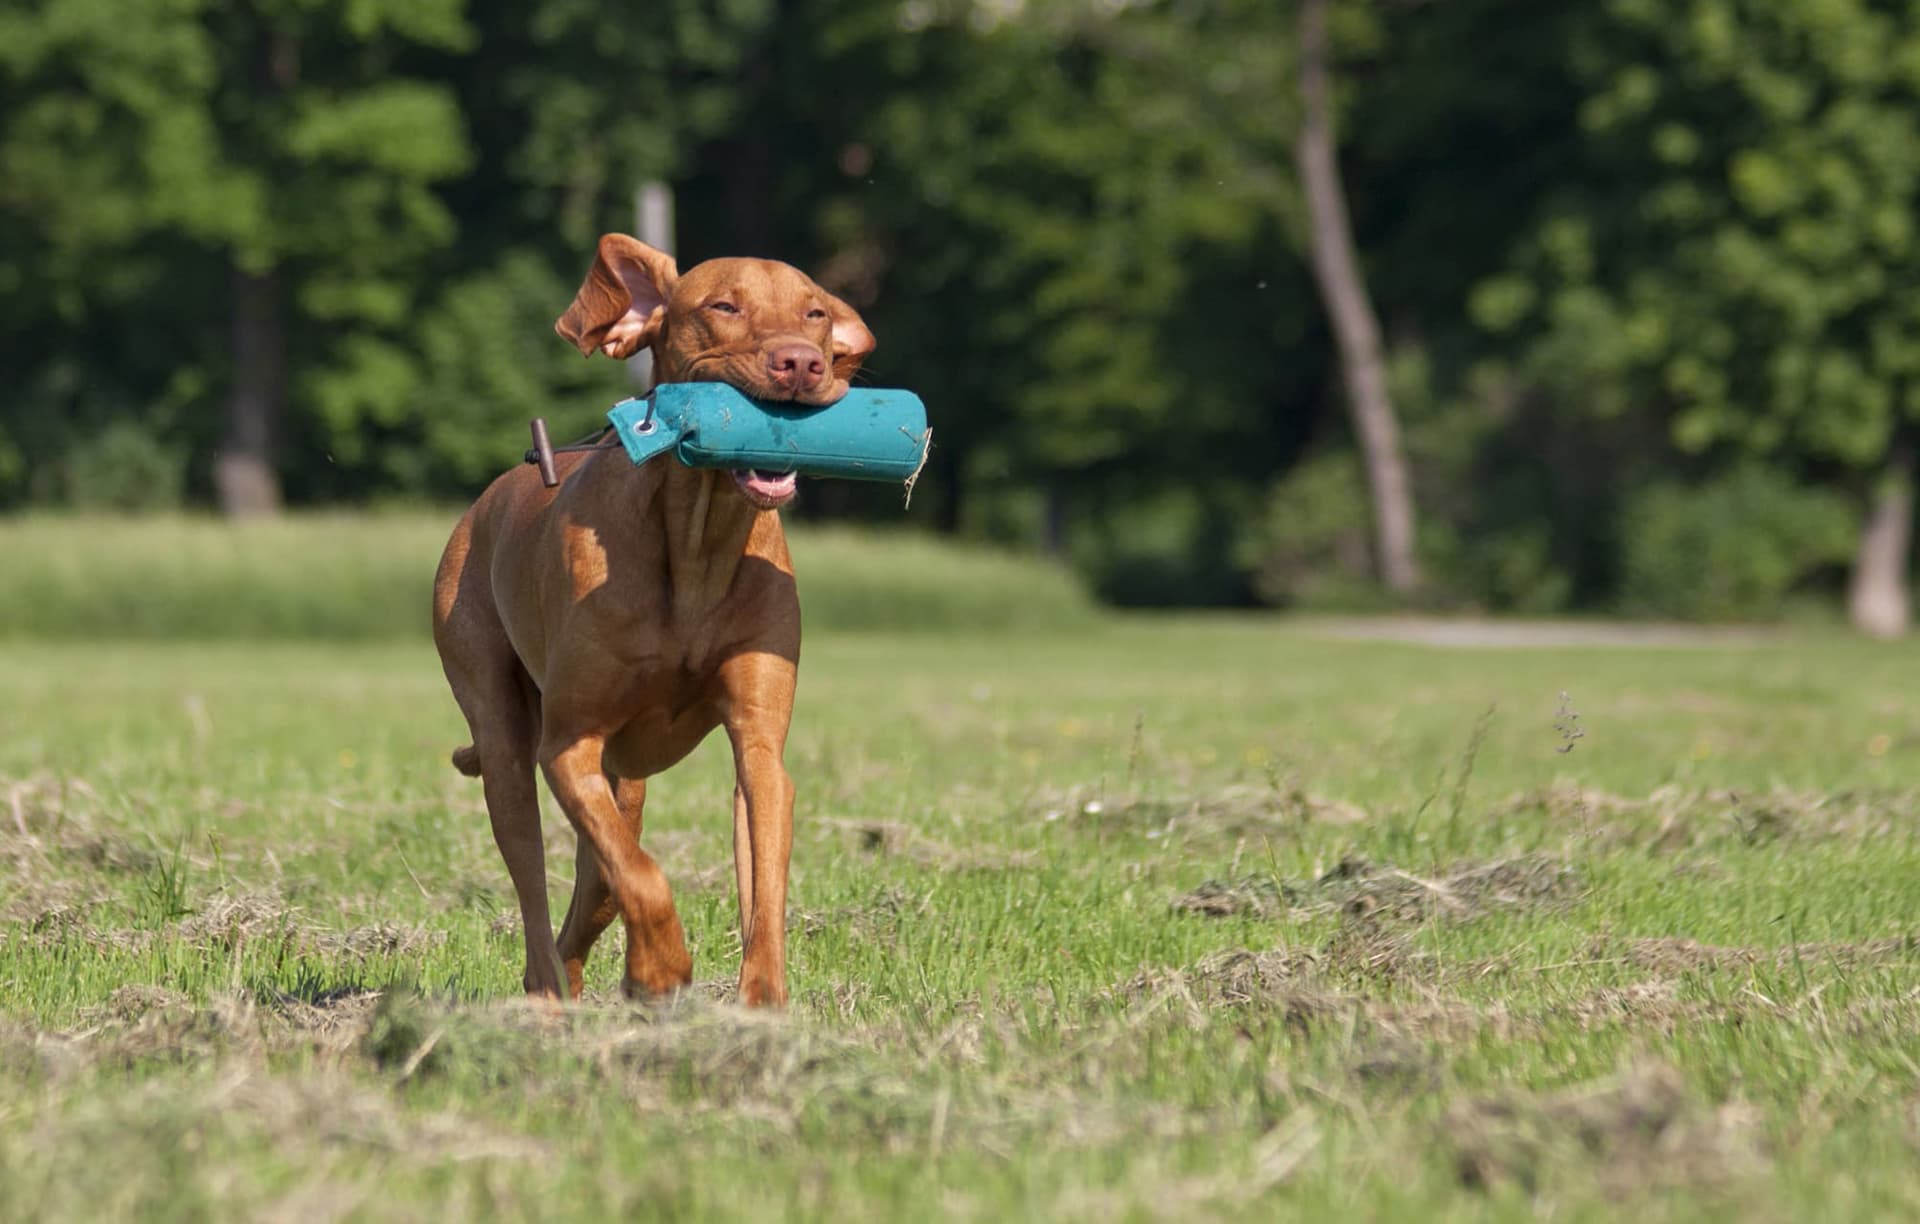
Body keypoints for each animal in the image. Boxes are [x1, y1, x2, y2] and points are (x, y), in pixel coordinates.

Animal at [432, 235, 875, 1012]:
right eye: (723, 306)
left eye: (815, 313)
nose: (801, 363)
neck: (699, 541)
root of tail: (485, 500)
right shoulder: (568, 745)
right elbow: (641, 875)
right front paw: (661, 968)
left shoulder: (759, 746)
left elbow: (759, 882)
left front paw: (761, 1001)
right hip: (503, 735)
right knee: (541, 883)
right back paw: (549, 992)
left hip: (625, 778)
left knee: (599, 880)